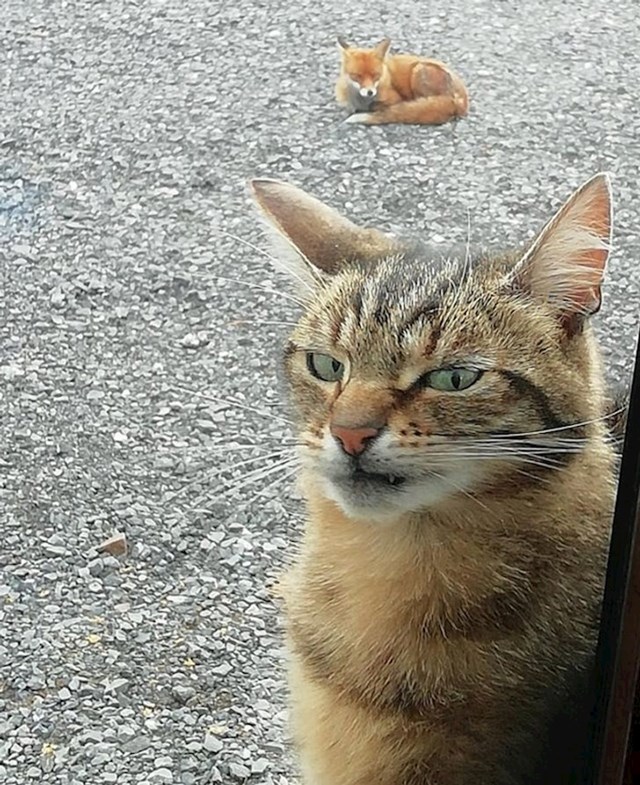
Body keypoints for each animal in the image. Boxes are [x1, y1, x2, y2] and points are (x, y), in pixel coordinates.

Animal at [336, 36, 470, 125]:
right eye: (357, 76)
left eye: (376, 75)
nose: (370, 92)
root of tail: (460, 101)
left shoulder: (395, 98)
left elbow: (378, 106)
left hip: (418, 70)